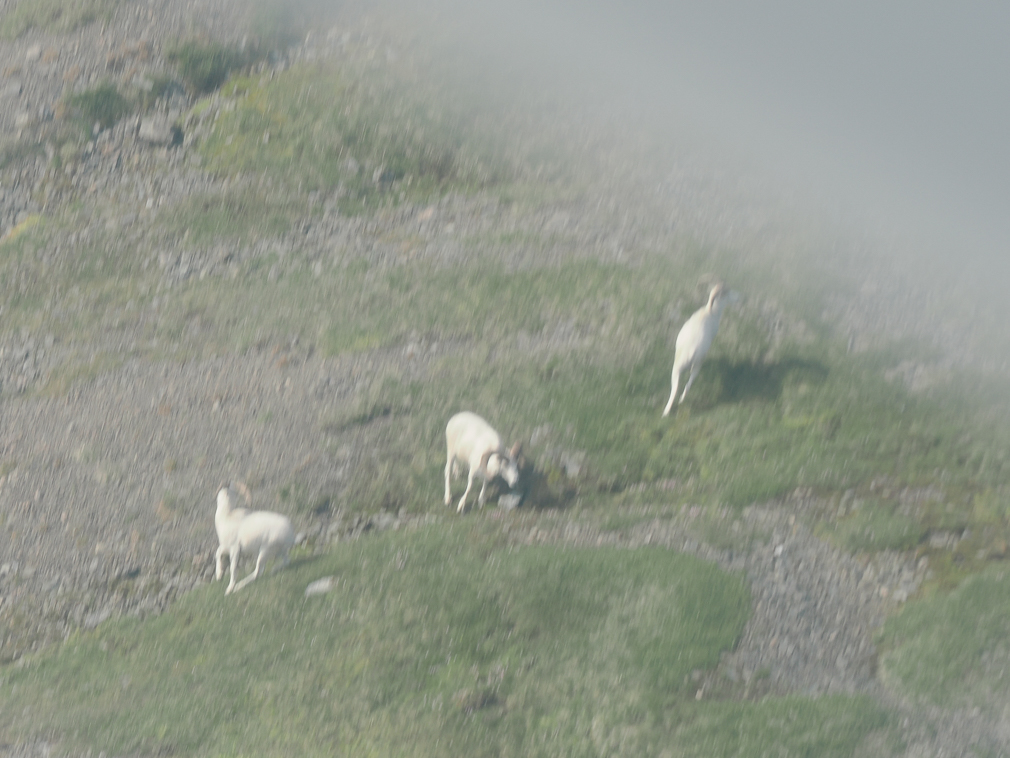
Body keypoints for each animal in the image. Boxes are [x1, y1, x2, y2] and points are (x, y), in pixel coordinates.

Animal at [658, 282, 739, 418]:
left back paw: (666, 411)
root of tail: (690, 353)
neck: (709, 312)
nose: (740, 298)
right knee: (688, 384)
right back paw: (680, 401)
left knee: (675, 389)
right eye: (727, 293)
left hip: (677, 368)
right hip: (697, 365)